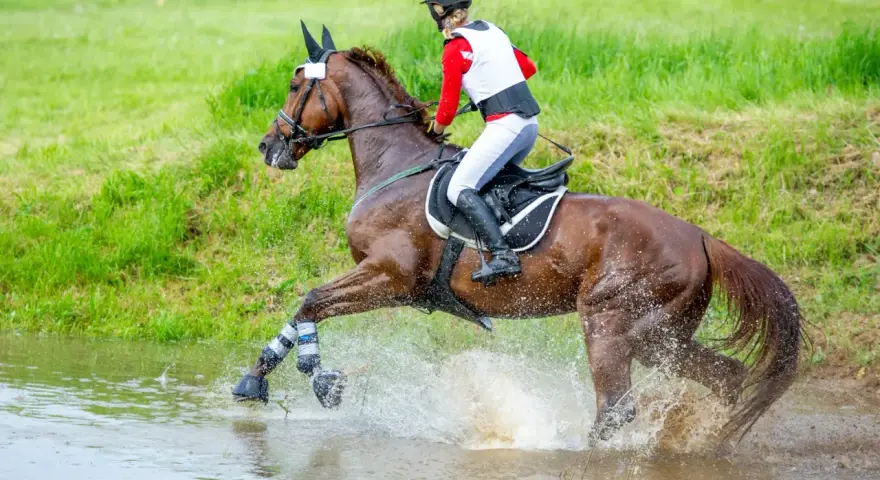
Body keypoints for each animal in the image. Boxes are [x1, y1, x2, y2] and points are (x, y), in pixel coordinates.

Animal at [233, 23, 804, 447]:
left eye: (294, 85)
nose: (268, 146)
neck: (396, 165)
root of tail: (701, 237)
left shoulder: (390, 277)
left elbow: (311, 300)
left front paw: (320, 378)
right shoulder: (391, 284)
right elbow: (303, 309)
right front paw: (255, 380)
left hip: (613, 323)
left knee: (616, 410)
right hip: (662, 334)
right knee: (725, 377)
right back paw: (708, 441)